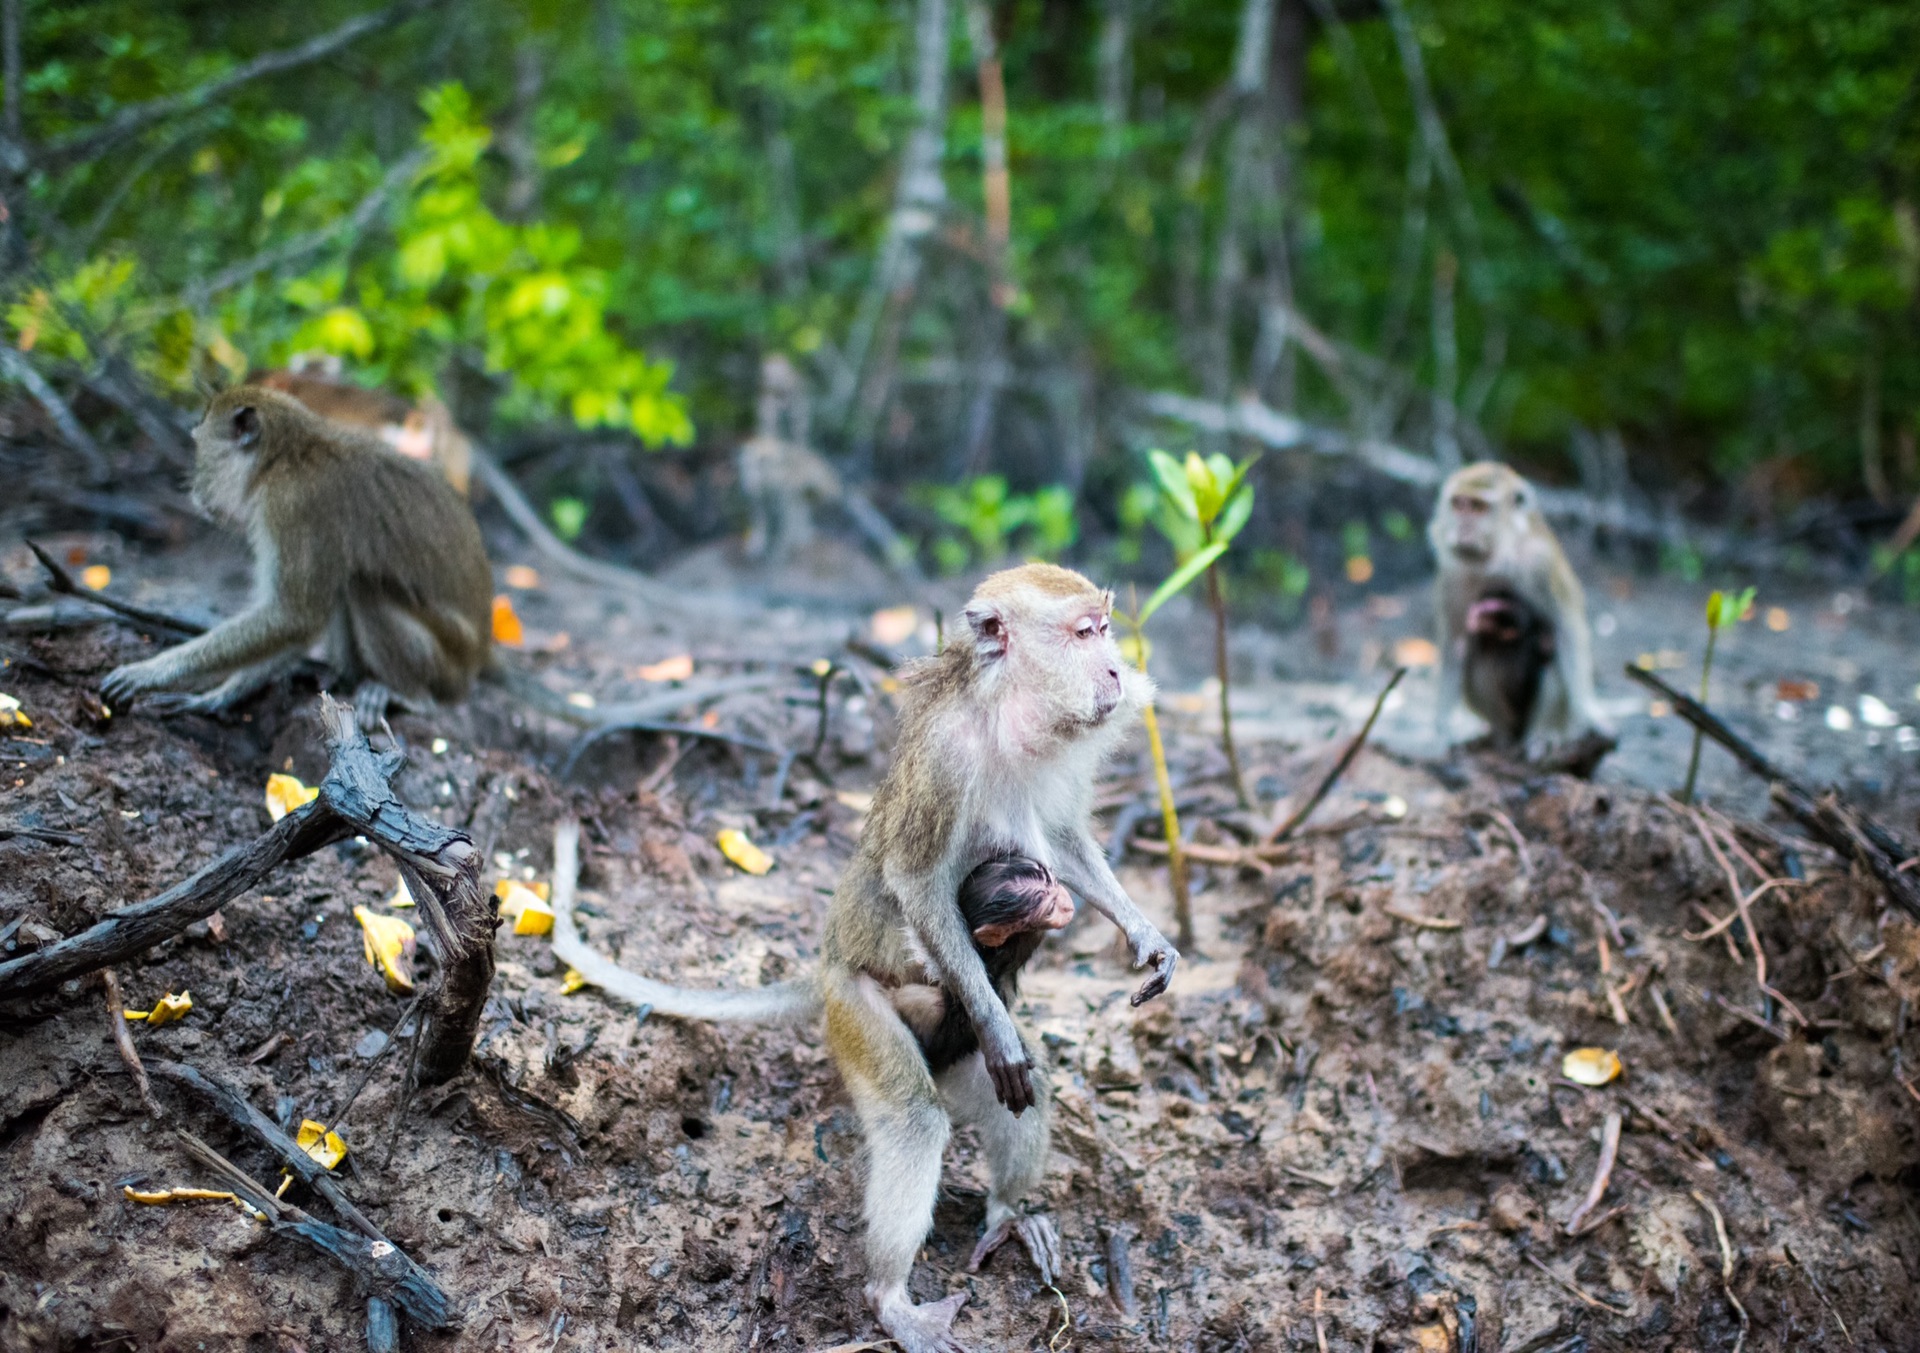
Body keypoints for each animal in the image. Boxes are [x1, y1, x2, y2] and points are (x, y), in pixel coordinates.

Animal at [102, 385, 495, 721]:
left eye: (201, 451)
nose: (194, 488)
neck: (285, 455)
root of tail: (474, 665)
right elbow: (295, 626)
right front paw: (219, 695)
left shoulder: (291, 504)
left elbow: (294, 615)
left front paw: (153, 671)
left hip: (445, 667)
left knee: (364, 587)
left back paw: (411, 697)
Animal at [541, 560, 1167, 1351]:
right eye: (1086, 633)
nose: (1116, 668)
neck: (1006, 714)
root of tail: (824, 968)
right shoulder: (946, 758)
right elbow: (919, 882)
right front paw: (998, 1021)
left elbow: (1062, 839)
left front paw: (1145, 933)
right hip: (854, 1011)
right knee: (915, 1116)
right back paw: (889, 1297)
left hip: (947, 1062)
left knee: (1016, 1091)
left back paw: (1005, 1216)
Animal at [1436, 462, 1612, 771]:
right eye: (1459, 504)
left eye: (1478, 507)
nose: (1463, 528)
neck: (1497, 558)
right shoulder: (1453, 576)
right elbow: (1456, 646)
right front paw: (1447, 729)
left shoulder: (1541, 563)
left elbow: (1568, 631)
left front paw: (1586, 713)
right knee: (1479, 653)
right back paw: (1500, 736)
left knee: (1551, 650)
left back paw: (1543, 735)